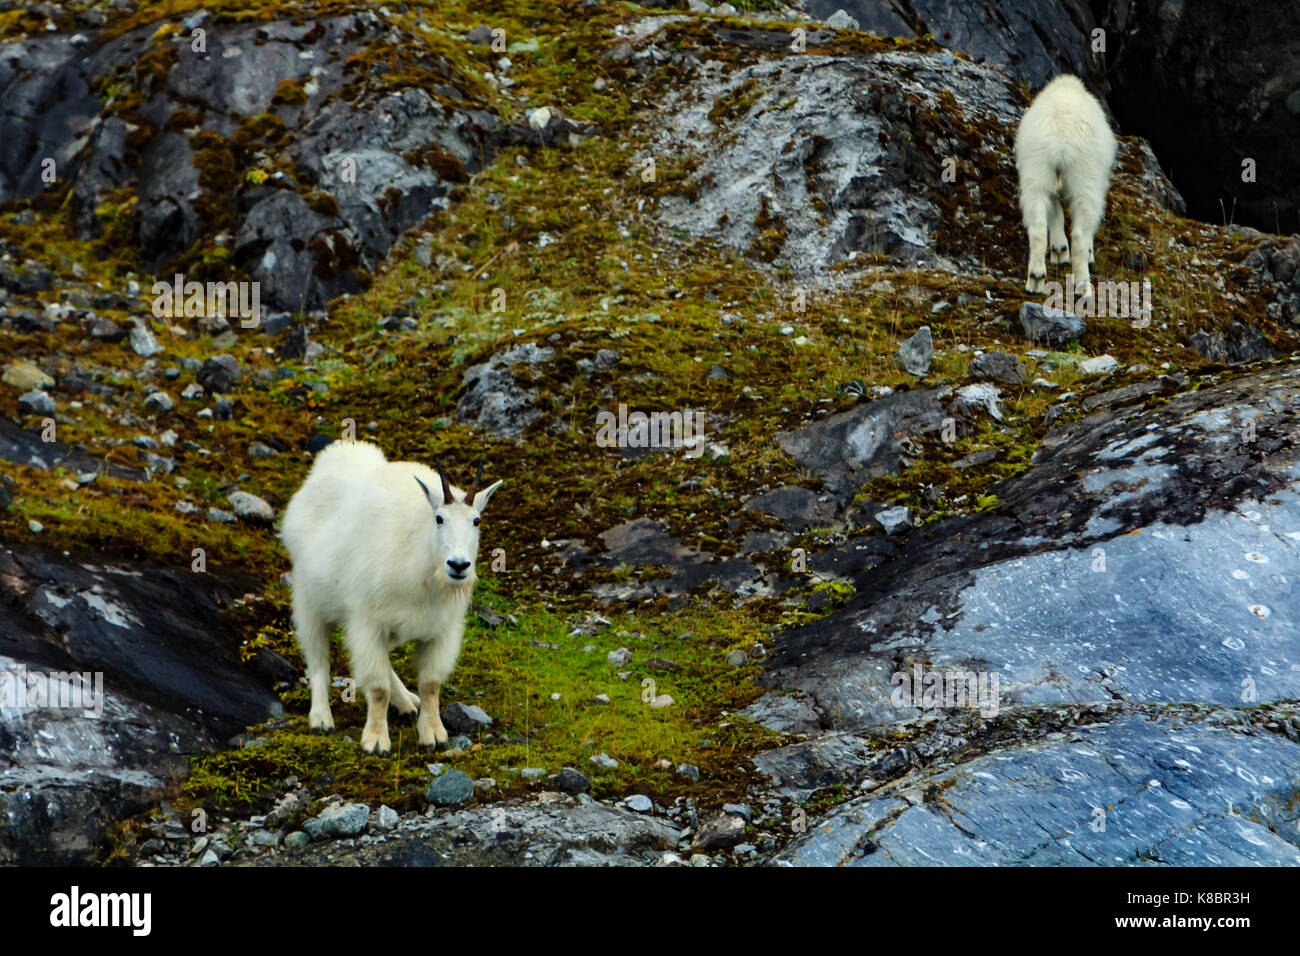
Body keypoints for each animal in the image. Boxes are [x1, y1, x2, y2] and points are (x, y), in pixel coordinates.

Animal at [283, 442, 501, 754]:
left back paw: (407, 702)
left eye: (476, 520)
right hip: (308, 598)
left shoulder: (441, 630)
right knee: (318, 659)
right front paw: (376, 740)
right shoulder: (367, 623)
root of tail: (332, 456)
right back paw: (321, 718)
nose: (458, 565)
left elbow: (430, 685)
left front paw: (433, 734)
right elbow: (377, 688)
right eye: (439, 518)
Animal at [1013, 74, 1118, 297]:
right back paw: (1083, 285)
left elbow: (1055, 215)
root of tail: (1060, 141)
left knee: (1037, 228)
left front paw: (1059, 251)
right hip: (1086, 180)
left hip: (1037, 174)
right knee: (1079, 235)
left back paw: (1036, 278)